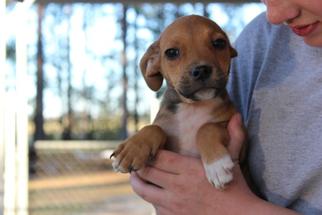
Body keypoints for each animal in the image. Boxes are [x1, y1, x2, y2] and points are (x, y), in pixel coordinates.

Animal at [110, 15, 239, 189]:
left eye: (219, 43)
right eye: (171, 53)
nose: (202, 70)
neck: (193, 106)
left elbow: (206, 127)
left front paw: (216, 164)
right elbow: (155, 128)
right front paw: (132, 148)